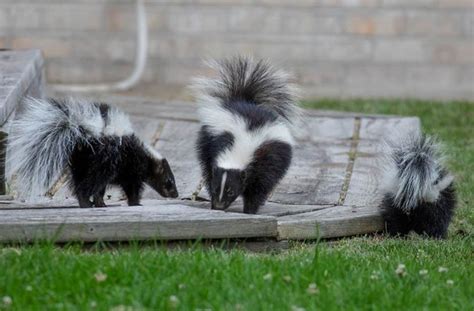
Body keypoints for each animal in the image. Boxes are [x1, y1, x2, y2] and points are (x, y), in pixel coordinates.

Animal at [6, 97, 179, 208]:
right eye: (169, 181)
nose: (176, 194)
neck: (146, 156)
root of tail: (82, 132)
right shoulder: (131, 169)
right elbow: (132, 187)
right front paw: (136, 203)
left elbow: (103, 189)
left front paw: (102, 202)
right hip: (102, 160)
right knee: (89, 184)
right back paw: (86, 204)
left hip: (81, 163)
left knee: (82, 183)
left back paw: (90, 203)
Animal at [193, 56, 300, 214]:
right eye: (216, 188)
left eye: (231, 191)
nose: (219, 206)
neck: (243, 142)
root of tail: (247, 100)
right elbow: (210, 173)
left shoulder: (265, 162)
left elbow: (257, 189)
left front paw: (250, 210)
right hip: (206, 139)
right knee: (205, 166)